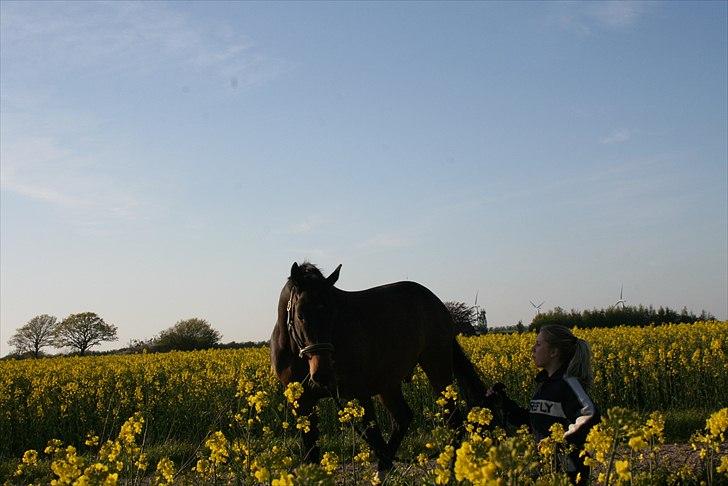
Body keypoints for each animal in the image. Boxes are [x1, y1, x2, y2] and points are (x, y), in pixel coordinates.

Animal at [270, 262, 492, 470]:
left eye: (333, 313)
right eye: (300, 315)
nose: (322, 374)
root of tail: (434, 301)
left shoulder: (358, 393)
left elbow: (373, 432)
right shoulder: (303, 402)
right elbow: (312, 452)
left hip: (436, 366)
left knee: (452, 418)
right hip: (388, 383)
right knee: (403, 418)